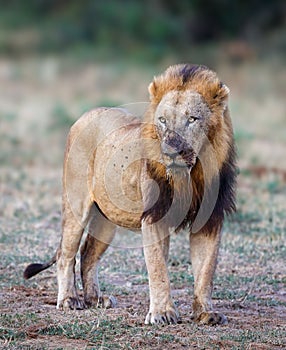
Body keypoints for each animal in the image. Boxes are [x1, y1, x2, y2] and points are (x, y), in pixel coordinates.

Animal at [23, 63, 236, 326]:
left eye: (192, 119)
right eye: (163, 121)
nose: (170, 152)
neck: (192, 173)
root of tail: (86, 114)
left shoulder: (210, 219)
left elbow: (206, 271)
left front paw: (206, 313)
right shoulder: (155, 216)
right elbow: (158, 268)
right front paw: (162, 313)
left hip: (106, 221)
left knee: (88, 254)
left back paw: (95, 299)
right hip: (76, 205)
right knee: (66, 253)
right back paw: (69, 300)